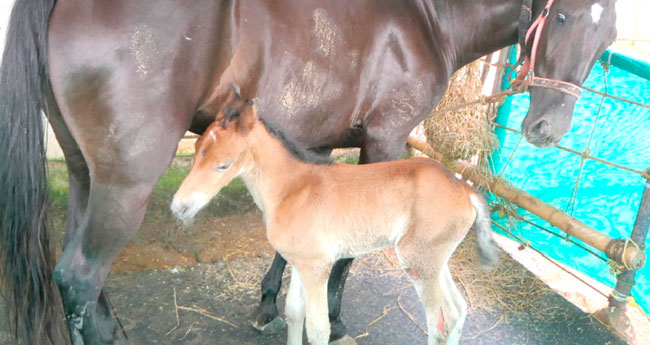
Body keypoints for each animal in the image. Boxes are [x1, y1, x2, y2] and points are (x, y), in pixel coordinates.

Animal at [171, 89, 496, 344]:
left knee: (440, 323)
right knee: (458, 310)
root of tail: (464, 189)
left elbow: (318, 330)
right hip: (435, 259)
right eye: (197, 149)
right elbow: (294, 314)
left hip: (418, 261)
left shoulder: (318, 267)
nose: (179, 207)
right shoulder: (301, 262)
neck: (292, 188)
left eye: (223, 165)